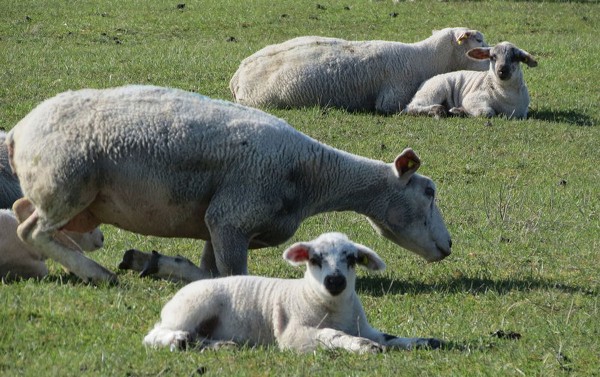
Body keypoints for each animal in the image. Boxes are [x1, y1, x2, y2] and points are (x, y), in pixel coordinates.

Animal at [7, 85, 450, 284]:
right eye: (428, 192)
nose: (448, 246)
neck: (311, 175)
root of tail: (17, 132)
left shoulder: (217, 222)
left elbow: (209, 272)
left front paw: (153, 262)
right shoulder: (233, 216)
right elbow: (226, 279)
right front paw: (154, 264)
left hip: (65, 195)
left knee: (21, 212)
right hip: (66, 183)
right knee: (31, 230)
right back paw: (97, 273)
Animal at [141, 232, 440, 352]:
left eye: (352, 259)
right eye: (314, 259)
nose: (335, 281)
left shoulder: (364, 326)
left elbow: (389, 336)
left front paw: (424, 341)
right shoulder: (293, 334)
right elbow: (330, 335)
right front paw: (363, 347)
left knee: (198, 337)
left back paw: (217, 345)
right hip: (192, 307)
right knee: (154, 334)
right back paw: (178, 340)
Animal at [404, 41, 540, 118]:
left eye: (515, 57)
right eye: (492, 57)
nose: (502, 71)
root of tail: (425, 82)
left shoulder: (522, 113)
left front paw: (458, 111)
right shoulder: (472, 99)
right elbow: (487, 112)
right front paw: (459, 111)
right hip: (435, 90)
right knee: (411, 107)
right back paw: (438, 110)